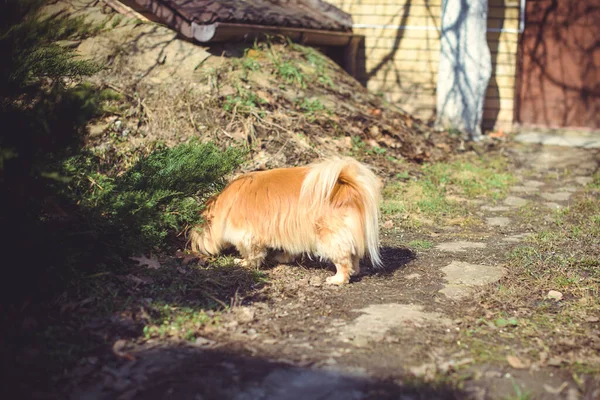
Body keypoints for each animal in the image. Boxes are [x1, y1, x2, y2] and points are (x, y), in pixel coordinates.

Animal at [190, 156, 382, 284]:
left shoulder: (247, 235)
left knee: (343, 259)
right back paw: (354, 272)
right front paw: (283, 258)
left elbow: (252, 254)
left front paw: (244, 263)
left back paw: (338, 279)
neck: (225, 203)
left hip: (330, 236)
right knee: (354, 256)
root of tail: (347, 187)